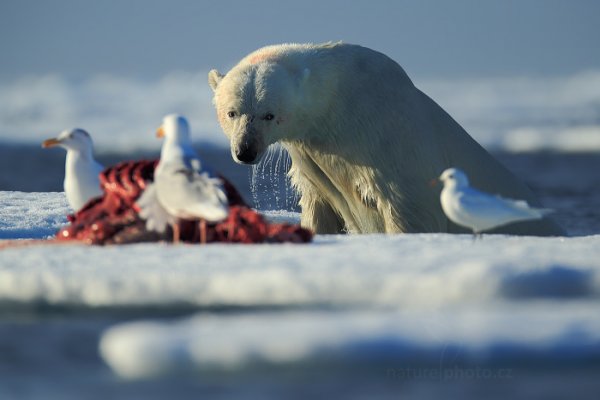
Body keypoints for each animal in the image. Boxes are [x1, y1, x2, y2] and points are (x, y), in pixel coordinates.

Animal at [209, 42, 564, 236]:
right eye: (232, 112)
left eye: (269, 114)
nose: (245, 150)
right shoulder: (315, 159)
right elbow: (319, 208)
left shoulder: (386, 140)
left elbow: (411, 210)